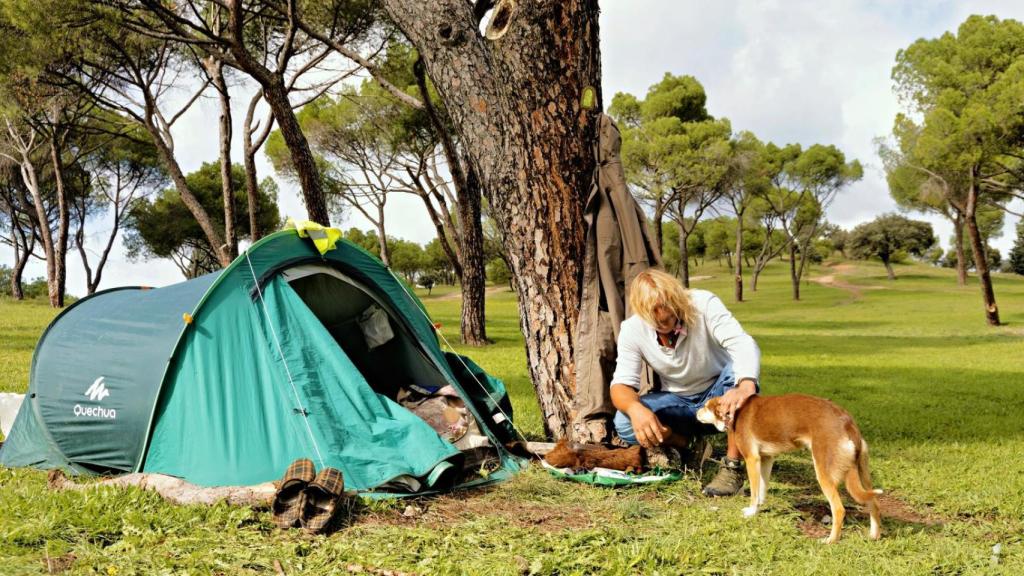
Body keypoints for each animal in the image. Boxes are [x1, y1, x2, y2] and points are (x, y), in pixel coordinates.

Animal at [696, 391, 880, 541]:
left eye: (705, 406)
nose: (696, 412)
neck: (737, 411)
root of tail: (847, 421)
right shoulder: (766, 459)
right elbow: (762, 489)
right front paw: (759, 509)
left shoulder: (751, 459)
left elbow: (754, 493)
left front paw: (751, 512)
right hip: (864, 475)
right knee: (873, 502)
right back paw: (874, 535)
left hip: (823, 473)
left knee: (839, 510)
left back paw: (830, 540)